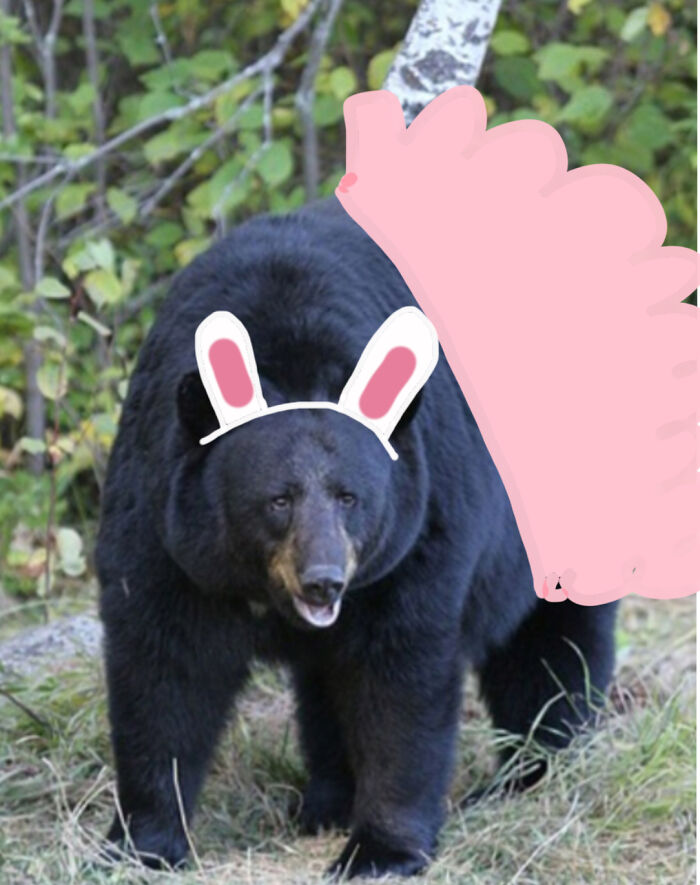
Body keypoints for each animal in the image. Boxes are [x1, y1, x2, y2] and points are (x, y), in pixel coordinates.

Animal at [95, 196, 619, 879]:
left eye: (351, 497)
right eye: (279, 499)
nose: (324, 580)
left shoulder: (418, 533)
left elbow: (399, 677)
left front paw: (380, 850)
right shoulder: (163, 526)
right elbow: (163, 668)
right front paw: (143, 843)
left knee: (551, 647)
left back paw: (535, 769)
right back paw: (327, 800)